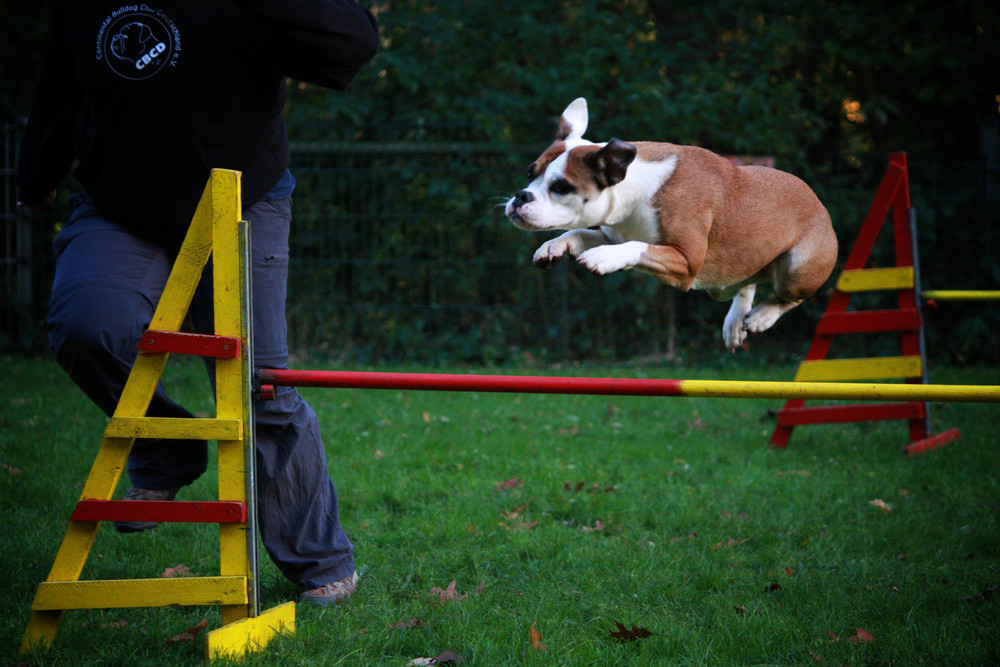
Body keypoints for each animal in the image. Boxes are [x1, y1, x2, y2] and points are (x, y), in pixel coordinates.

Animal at [504, 99, 840, 352]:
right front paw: (553, 245)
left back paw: (761, 318)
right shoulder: (614, 234)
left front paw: (602, 258)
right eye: (530, 173)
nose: (521, 197)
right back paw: (735, 323)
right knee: (746, 282)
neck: (633, 189)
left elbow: (637, 247)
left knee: (790, 296)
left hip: (797, 269)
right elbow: (581, 232)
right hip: (723, 281)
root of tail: (821, 205)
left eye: (560, 187)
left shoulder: (686, 261)